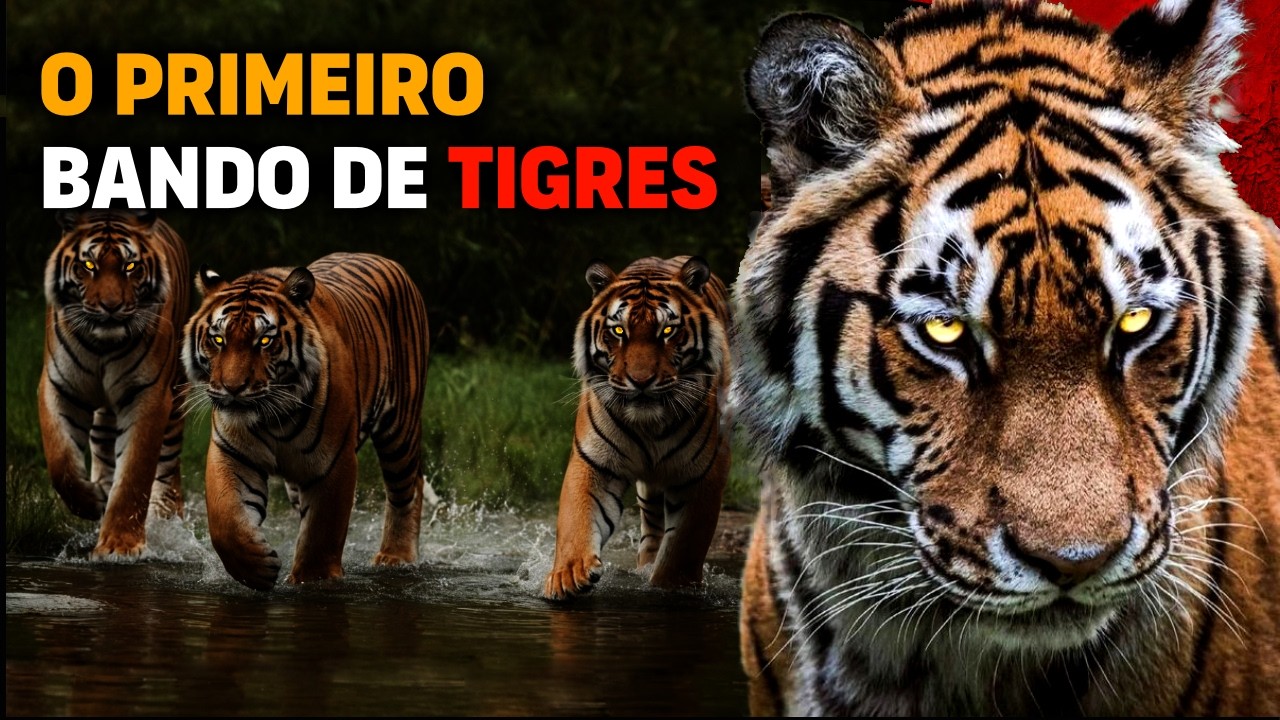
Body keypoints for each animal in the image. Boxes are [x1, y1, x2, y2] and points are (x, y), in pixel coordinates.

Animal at [39, 209, 190, 557]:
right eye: (88, 265)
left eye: (130, 267)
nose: (110, 306)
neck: (102, 346)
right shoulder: (59, 386)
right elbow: (61, 462)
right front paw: (92, 501)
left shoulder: (148, 396)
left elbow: (135, 473)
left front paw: (120, 545)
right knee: (103, 444)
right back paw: (103, 490)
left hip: (176, 397)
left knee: (168, 467)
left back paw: (166, 517)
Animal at [182, 252, 430, 591]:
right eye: (218, 339)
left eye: (264, 341)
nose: (232, 389)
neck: (272, 418)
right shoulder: (231, 452)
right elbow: (226, 522)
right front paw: (256, 568)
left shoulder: (334, 463)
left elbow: (320, 534)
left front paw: (313, 581)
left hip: (399, 428)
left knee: (408, 487)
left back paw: (396, 557)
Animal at [543, 256, 733, 600]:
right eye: (619, 330)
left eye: (668, 330)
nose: (640, 381)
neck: (650, 424)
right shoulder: (594, 461)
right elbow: (576, 518)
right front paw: (568, 575)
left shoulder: (705, 472)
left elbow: (686, 542)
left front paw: (672, 586)